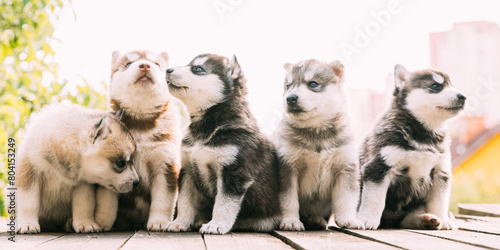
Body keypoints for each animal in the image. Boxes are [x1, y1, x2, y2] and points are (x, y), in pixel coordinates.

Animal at [16, 102, 138, 233]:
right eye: (120, 163)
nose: (137, 183)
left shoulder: (83, 183)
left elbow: (84, 203)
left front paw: (85, 223)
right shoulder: (29, 171)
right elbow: (28, 202)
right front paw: (28, 224)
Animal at [97, 49, 182, 231]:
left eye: (156, 64)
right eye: (128, 64)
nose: (145, 66)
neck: (140, 122)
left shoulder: (165, 163)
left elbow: (163, 199)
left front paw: (159, 221)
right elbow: (106, 201)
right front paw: (101, 222)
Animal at [164, 53, 282, 234]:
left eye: (197, 69)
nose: (167, 70)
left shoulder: (233, 173)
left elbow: (223, 204)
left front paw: (216, 224)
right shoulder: (188, 170)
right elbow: (185, 201)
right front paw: (180, 222)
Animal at [276, 58, 366, 230]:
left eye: (313, 84)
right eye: (288, 86)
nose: (290, 98)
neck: (317, 131)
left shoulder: (346, 167)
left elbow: (346, 198)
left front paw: (348, 219)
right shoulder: (288, 167)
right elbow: (289, 199)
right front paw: (291, 221)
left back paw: (315, 219)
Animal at [358, 65, 466, 230]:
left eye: (452, 85)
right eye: (436, 86)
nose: (463, 97)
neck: (424, 134)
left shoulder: (441, 172)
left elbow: (439, 201)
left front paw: (443, 220)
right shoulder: (379, 166)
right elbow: (375, 198)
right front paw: (368, 219)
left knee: (407, 220)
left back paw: (427, 220)